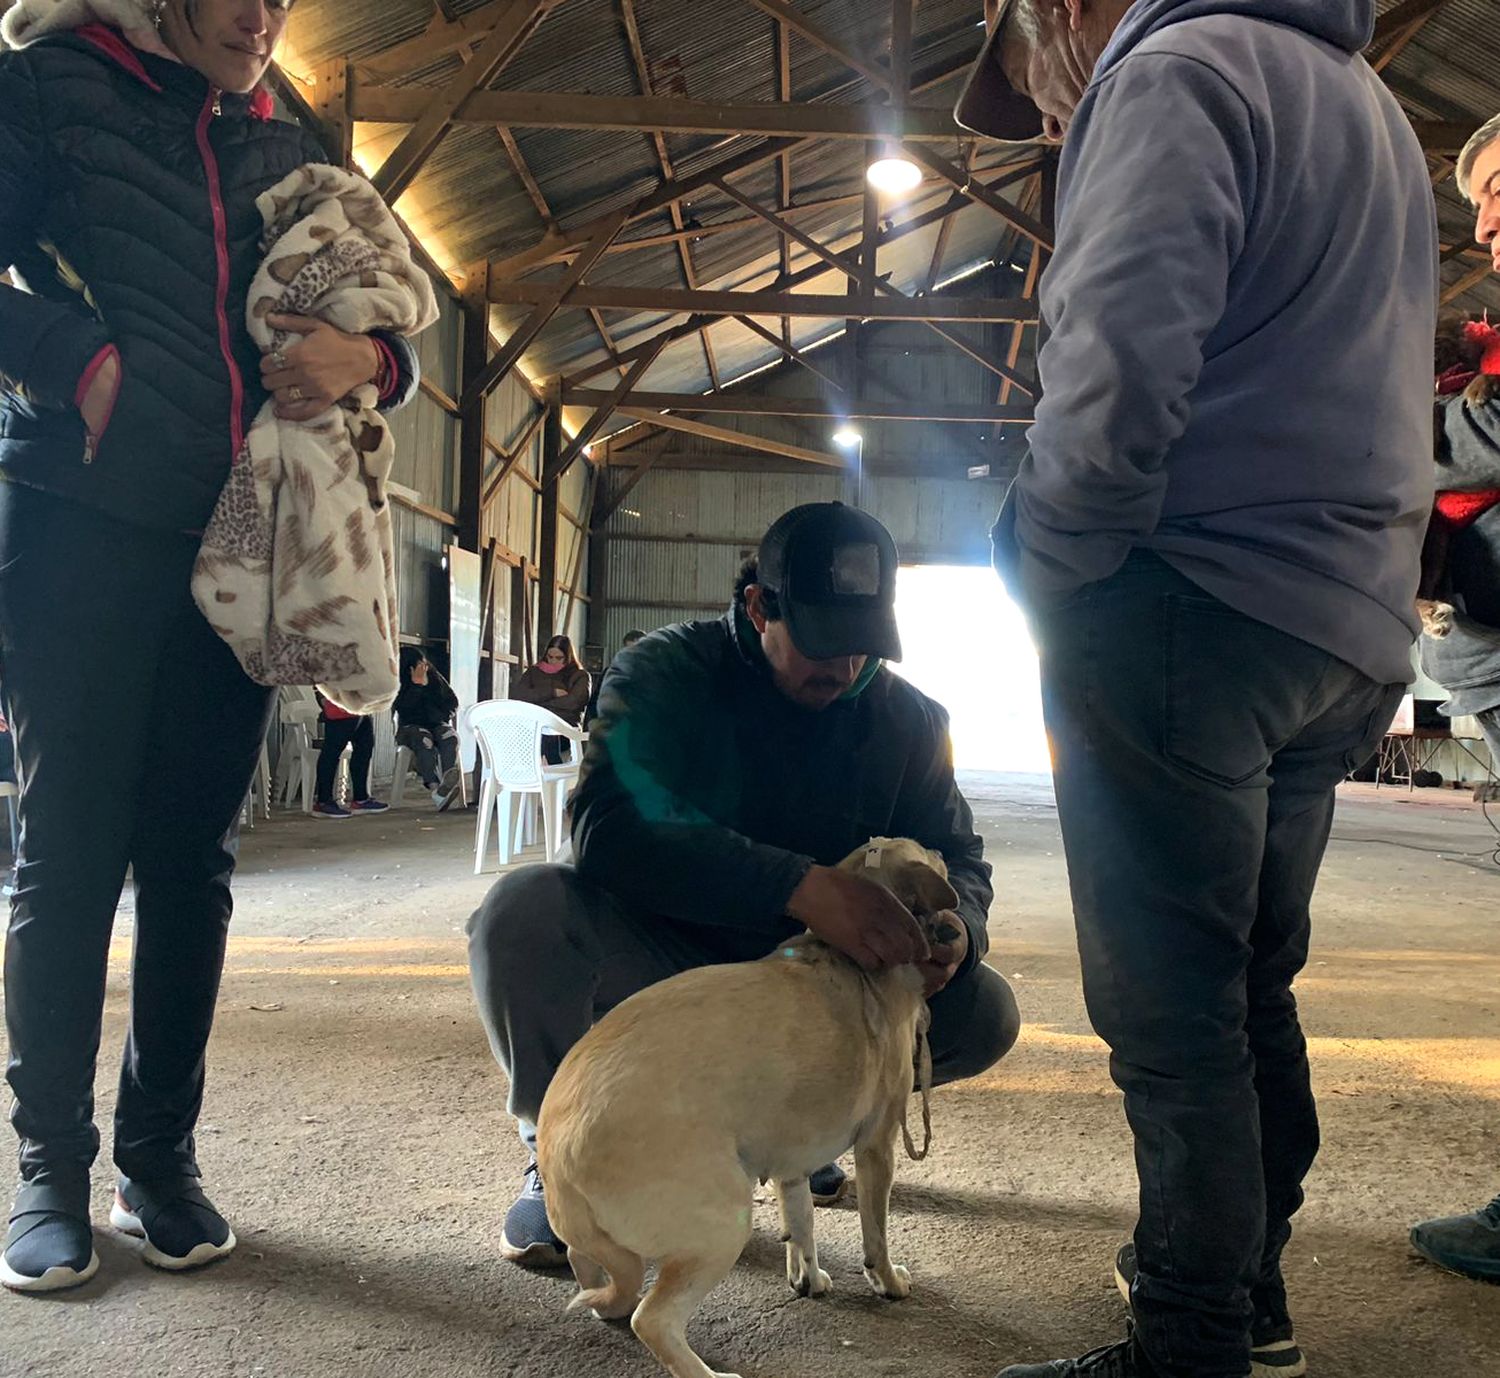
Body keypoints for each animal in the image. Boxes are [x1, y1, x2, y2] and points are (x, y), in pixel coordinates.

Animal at [540, 833, 960, 1378]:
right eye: (924, 851)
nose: (944, 850)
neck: (846, 957)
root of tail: (557, 1164)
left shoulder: (793, 1160)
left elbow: (802, 1222)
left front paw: (808, 1277)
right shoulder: (877, 1147)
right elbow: (876, 1233)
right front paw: (887, 1281)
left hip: (619, 1244)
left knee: (593, 1272)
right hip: (722, 1224)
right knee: (653, 1321)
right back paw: (706, 1372)